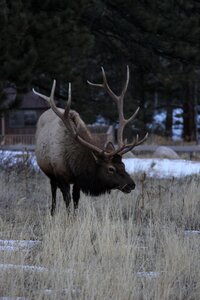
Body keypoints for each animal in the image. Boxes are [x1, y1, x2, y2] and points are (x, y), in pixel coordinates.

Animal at [33, 66, 148, 214]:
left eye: (123, 165)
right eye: (111, 169)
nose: (131, 184)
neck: (74, 164)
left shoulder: (77, 181)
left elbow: (76, 200)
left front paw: (75, 217)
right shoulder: (61, 175)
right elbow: (67, 201)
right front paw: (68, 217)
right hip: (50, 173)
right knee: (53, 192)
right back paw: (52, 213)